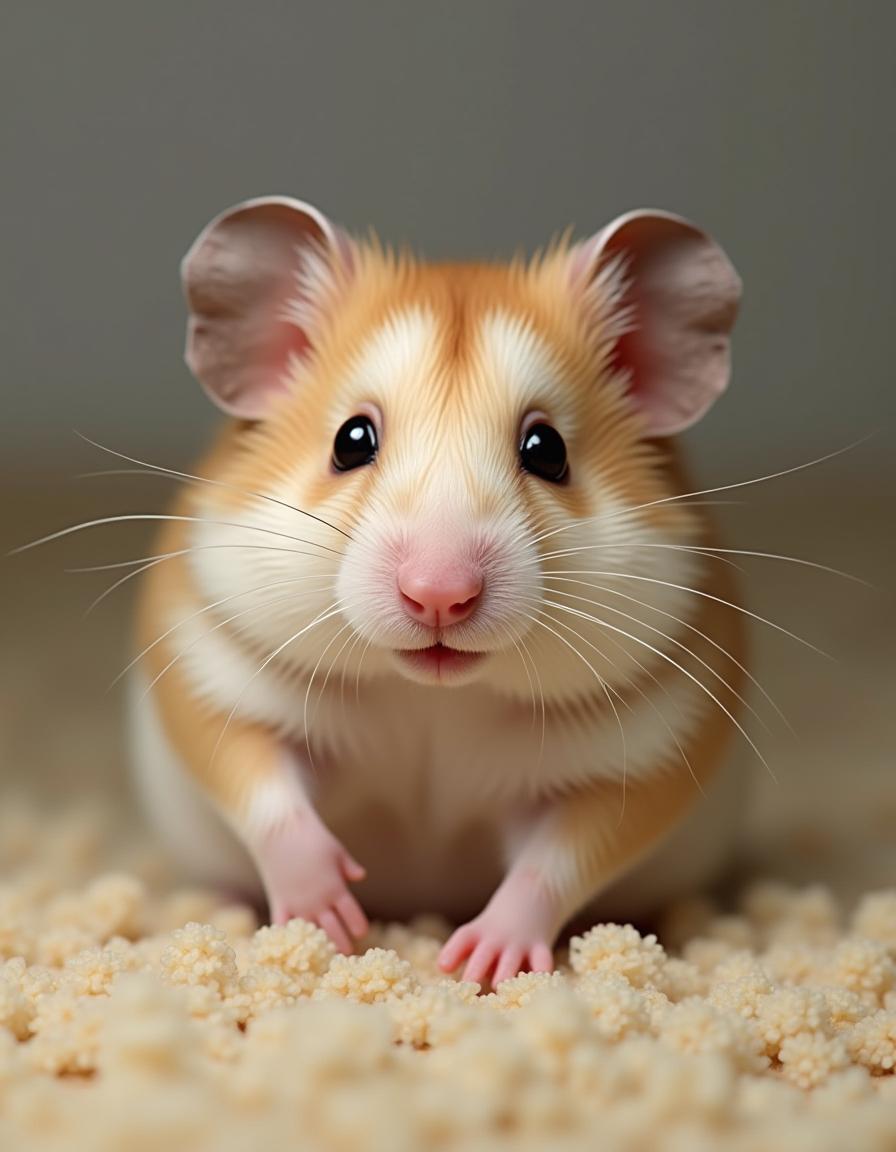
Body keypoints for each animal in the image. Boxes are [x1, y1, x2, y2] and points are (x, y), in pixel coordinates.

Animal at [130, 196, 747, 988]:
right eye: (350, 440)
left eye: (548, 451)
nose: (439, 597)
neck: (433, 697)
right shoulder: (212, 671)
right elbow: (262, 787)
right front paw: (331, 920)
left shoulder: (648, 749)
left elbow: (561, 857)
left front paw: (476, 963)